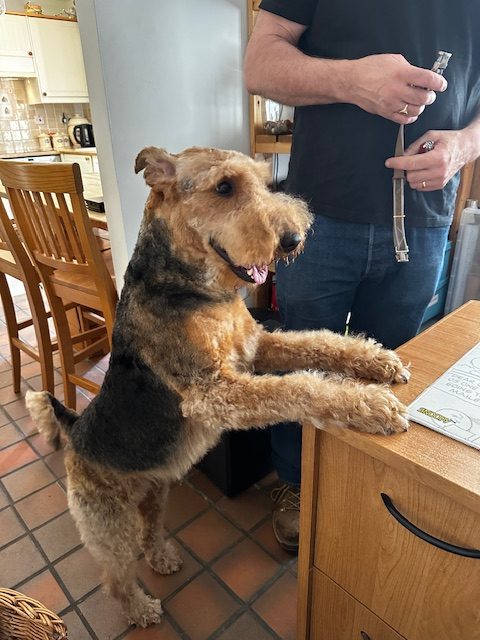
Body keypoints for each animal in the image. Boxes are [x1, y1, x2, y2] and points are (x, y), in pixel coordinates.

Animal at [26, 146, 410, 627]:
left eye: (265, 181)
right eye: (224, 186)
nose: (291, 239)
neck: (196, 290)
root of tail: (75, 428)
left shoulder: (256, 346)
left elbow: (321, 344)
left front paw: (380, 362)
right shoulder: (214, 392)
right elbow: (300, 389)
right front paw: (375, 405)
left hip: (154, 493)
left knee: (149, 534)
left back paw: (164, 559)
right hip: (110, 525)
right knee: (115, 577)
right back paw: (141, 610)